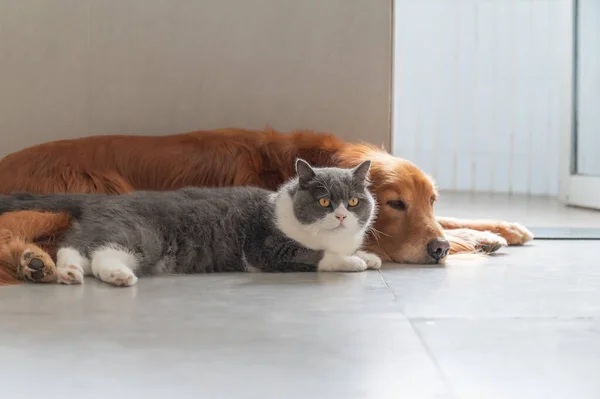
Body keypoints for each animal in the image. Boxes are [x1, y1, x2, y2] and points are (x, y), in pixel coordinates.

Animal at [0, 159, 380, 288]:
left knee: (77, 248)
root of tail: (106, 200)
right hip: (141, 233)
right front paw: (354, 261)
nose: (342, 215)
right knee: (98, 252)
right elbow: (318, 256)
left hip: (116, 230)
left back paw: (66, 272)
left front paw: (370, 255)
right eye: (324, 202)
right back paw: (117, 277)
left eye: (354, 201)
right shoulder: (267, 248)